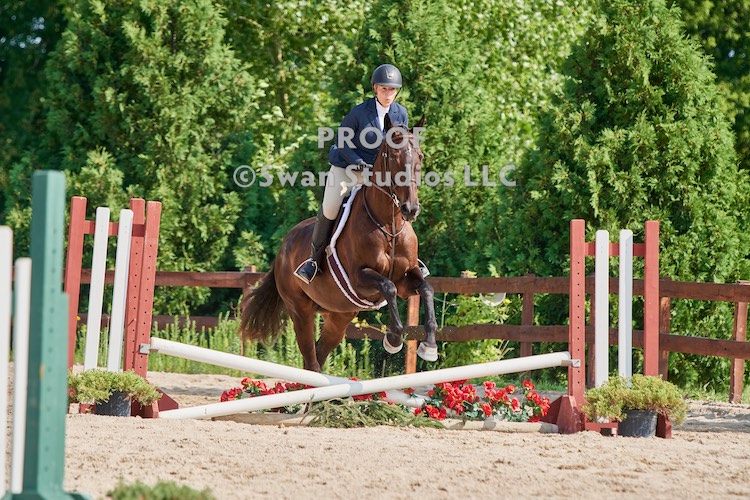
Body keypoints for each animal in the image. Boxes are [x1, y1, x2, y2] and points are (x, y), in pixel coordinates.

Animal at [240, 115, 437, 372]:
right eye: (394, 157)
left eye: (420, 157)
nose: (410, 209)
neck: (389, 226)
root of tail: (283, 248)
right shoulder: (359, 278)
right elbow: (388, 287)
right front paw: (394, 339)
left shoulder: (406, 278)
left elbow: (426, 288)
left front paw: (430, 346)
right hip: (300, 310)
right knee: (311, 358)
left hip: (338, 315)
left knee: (319, 353)